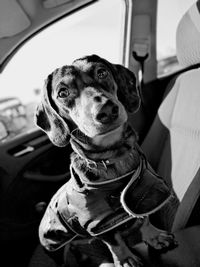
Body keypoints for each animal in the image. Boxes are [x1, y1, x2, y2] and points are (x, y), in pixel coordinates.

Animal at [35, 55, 177, 267]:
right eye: (63, 93)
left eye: (101, 72)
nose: (107, 110)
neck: (113, 158)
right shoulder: (98, 223)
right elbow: (115, 242)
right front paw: (125, 259)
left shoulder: (142, 192)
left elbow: (143, 218)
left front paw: (154, 236)